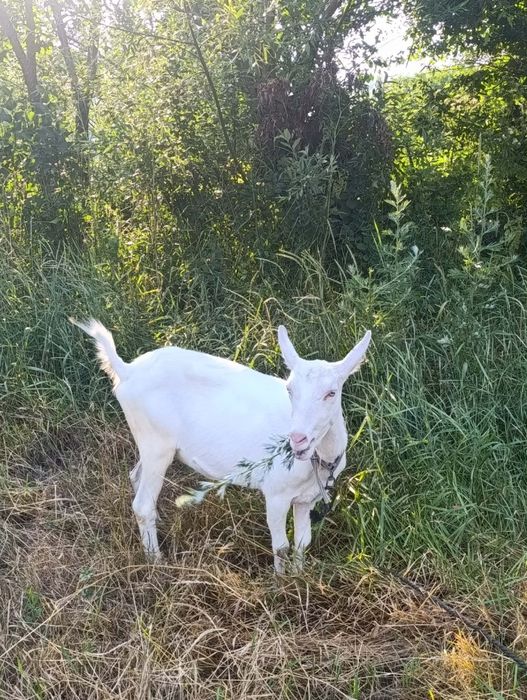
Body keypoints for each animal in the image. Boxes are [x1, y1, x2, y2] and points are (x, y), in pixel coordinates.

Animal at [72, 319, 371, 572]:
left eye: (331, 392)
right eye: (290, 390)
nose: (297, 439)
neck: (318, 460)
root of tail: (127, 370)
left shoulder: (306, 498)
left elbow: (301, 543)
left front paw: (300, 578)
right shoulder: (275, 493)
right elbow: (281, 546)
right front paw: (281, 585)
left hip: (150, 442)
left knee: (136, 477)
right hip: (156, 441)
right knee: (142, 504)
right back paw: (156, 561)